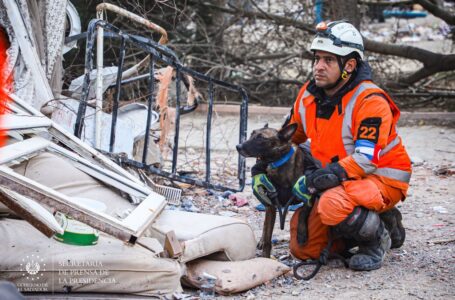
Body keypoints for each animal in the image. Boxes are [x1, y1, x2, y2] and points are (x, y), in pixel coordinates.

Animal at [237, 123, 318, 256]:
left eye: (261, 138)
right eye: (251, 134)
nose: (238, 146)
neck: (278, 163)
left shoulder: (309, 195)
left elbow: (303, 213)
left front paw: (301, 234)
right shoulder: (271, 206)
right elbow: (268, 237)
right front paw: (265, 255)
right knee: (265, 225)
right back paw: (261, 241)